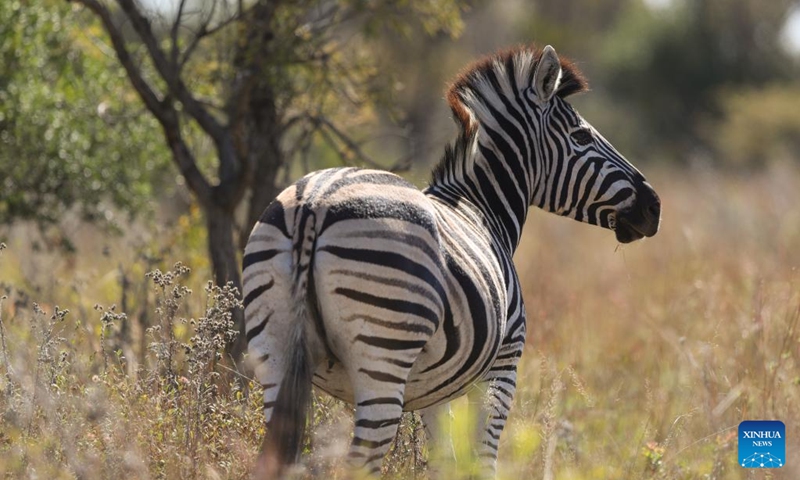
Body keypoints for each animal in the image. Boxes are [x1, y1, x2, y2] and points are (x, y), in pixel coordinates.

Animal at [243, 44, 661, 478]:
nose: (654, 207)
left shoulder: (435, 388)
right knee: (361, 461)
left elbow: (445, 459)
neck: (482, 209)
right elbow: (483, 459)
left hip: (274, 349)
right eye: (580, 135)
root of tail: (314, 203)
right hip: (382, 356)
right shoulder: (503, 366)